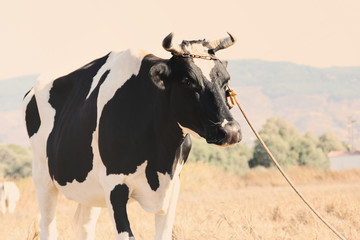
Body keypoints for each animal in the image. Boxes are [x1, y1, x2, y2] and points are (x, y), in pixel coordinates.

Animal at [23, 32, 242, 240]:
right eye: (187, 81)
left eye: (226, 80)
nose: (230, 131)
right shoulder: (114, 185)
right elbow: (126, 235)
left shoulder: (173, 185)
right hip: (42, 176)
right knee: (48, 227)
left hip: (89, 187)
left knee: (83, 225)